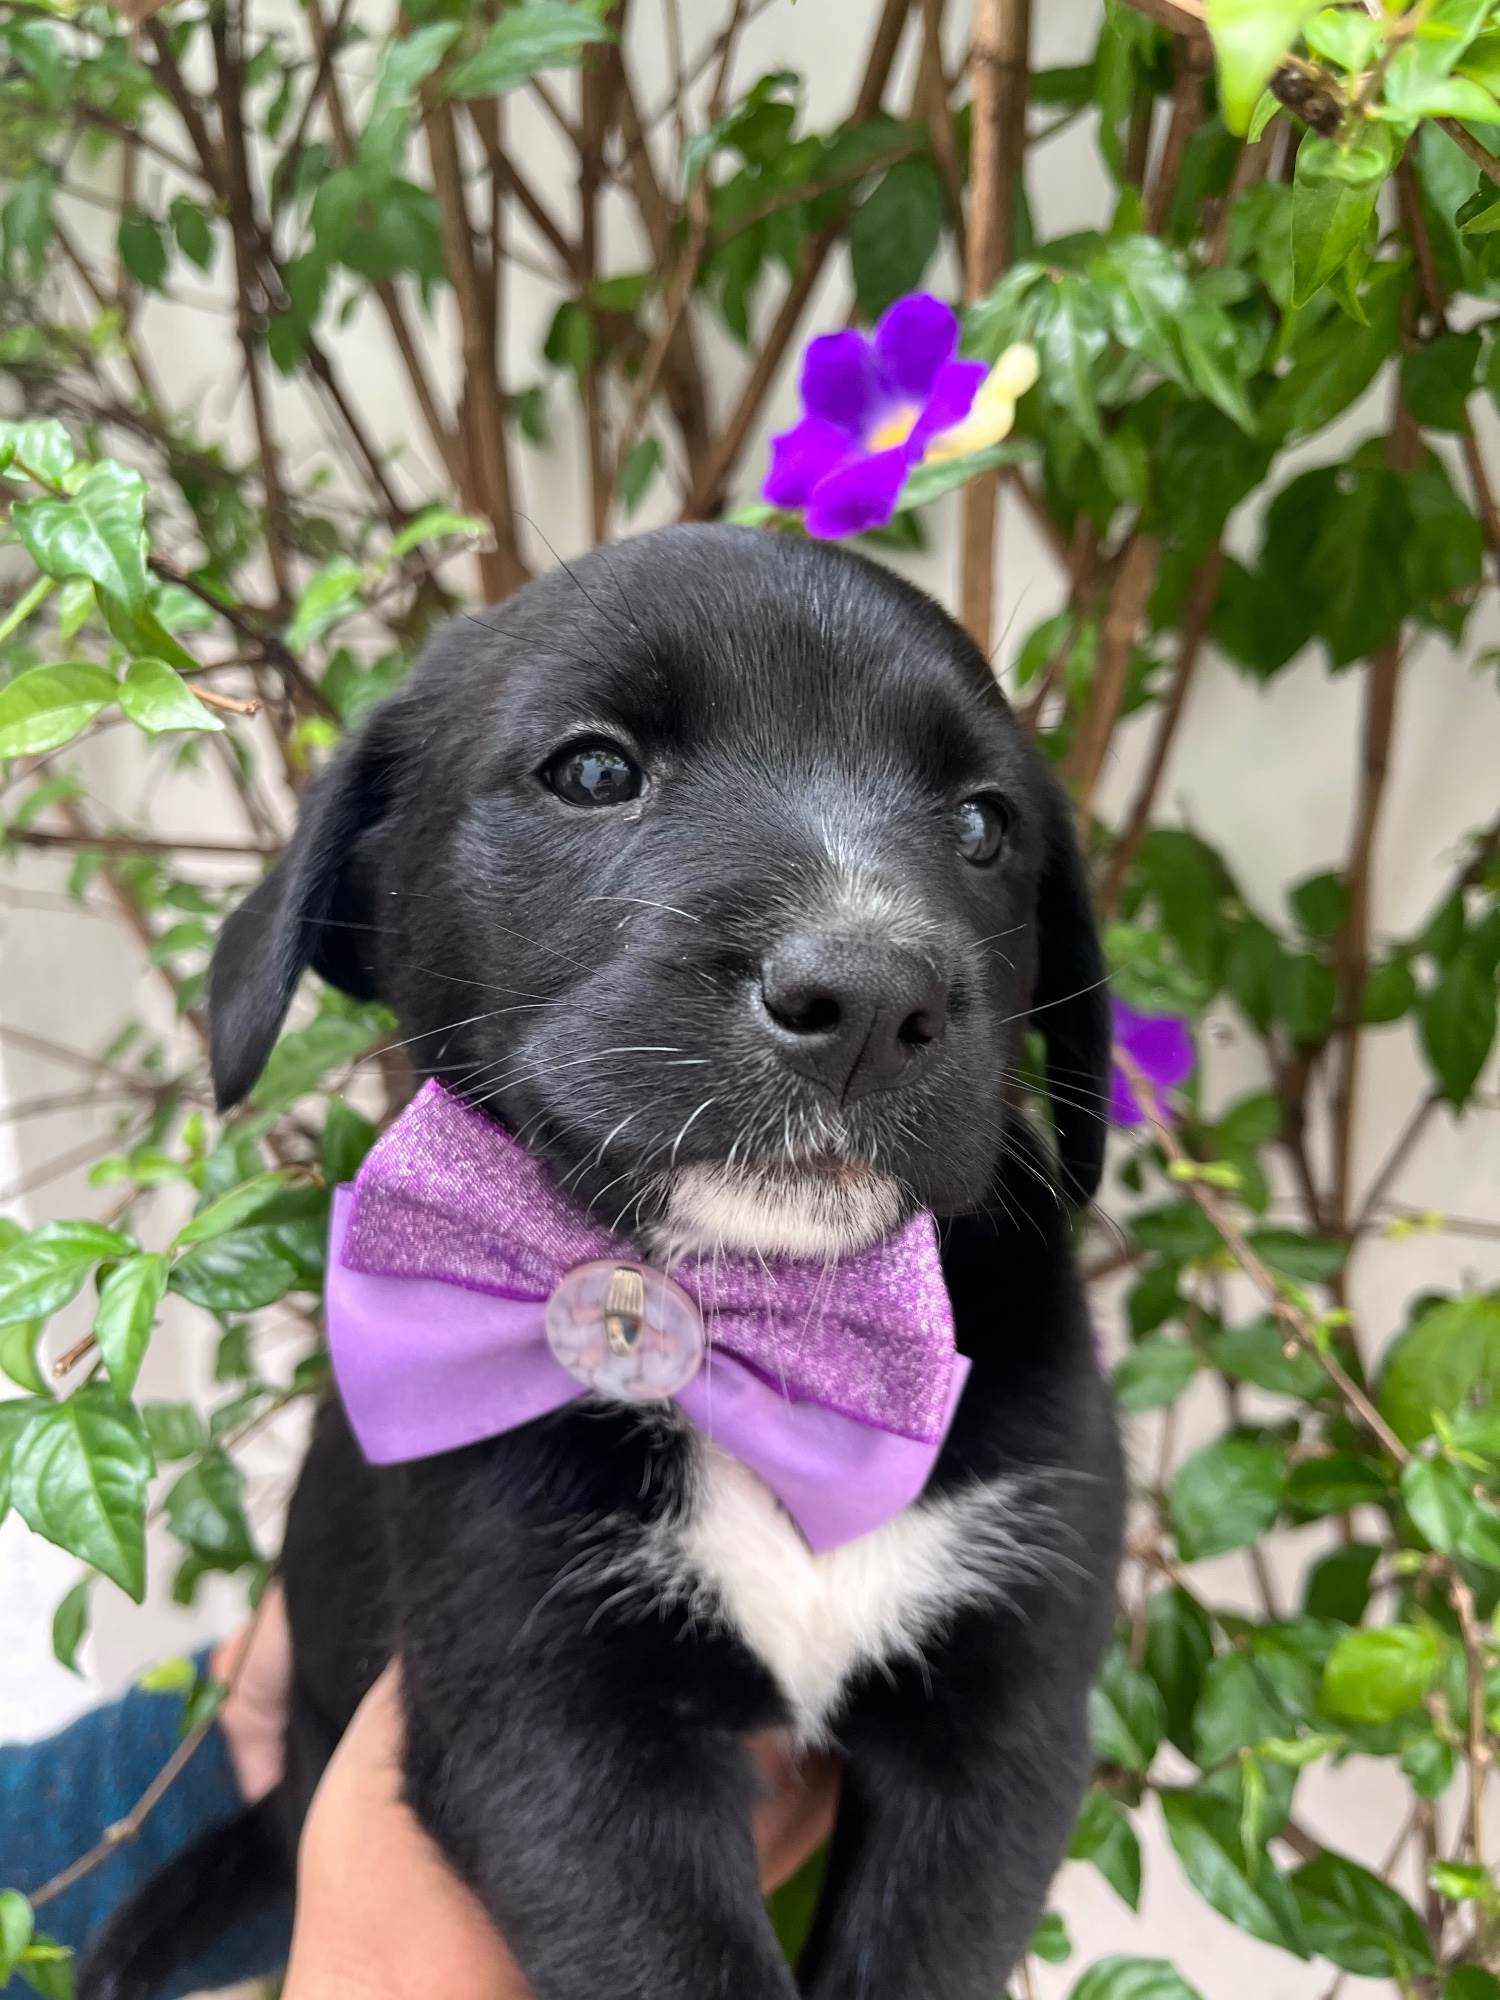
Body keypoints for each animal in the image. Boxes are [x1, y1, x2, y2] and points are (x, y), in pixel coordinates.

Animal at [81, 523, 1123, 2000]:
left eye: (985, 825)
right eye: (590, 771)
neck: (742, 1321)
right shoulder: (551, 1730)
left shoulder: (1004, 1716)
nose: (871, 998)